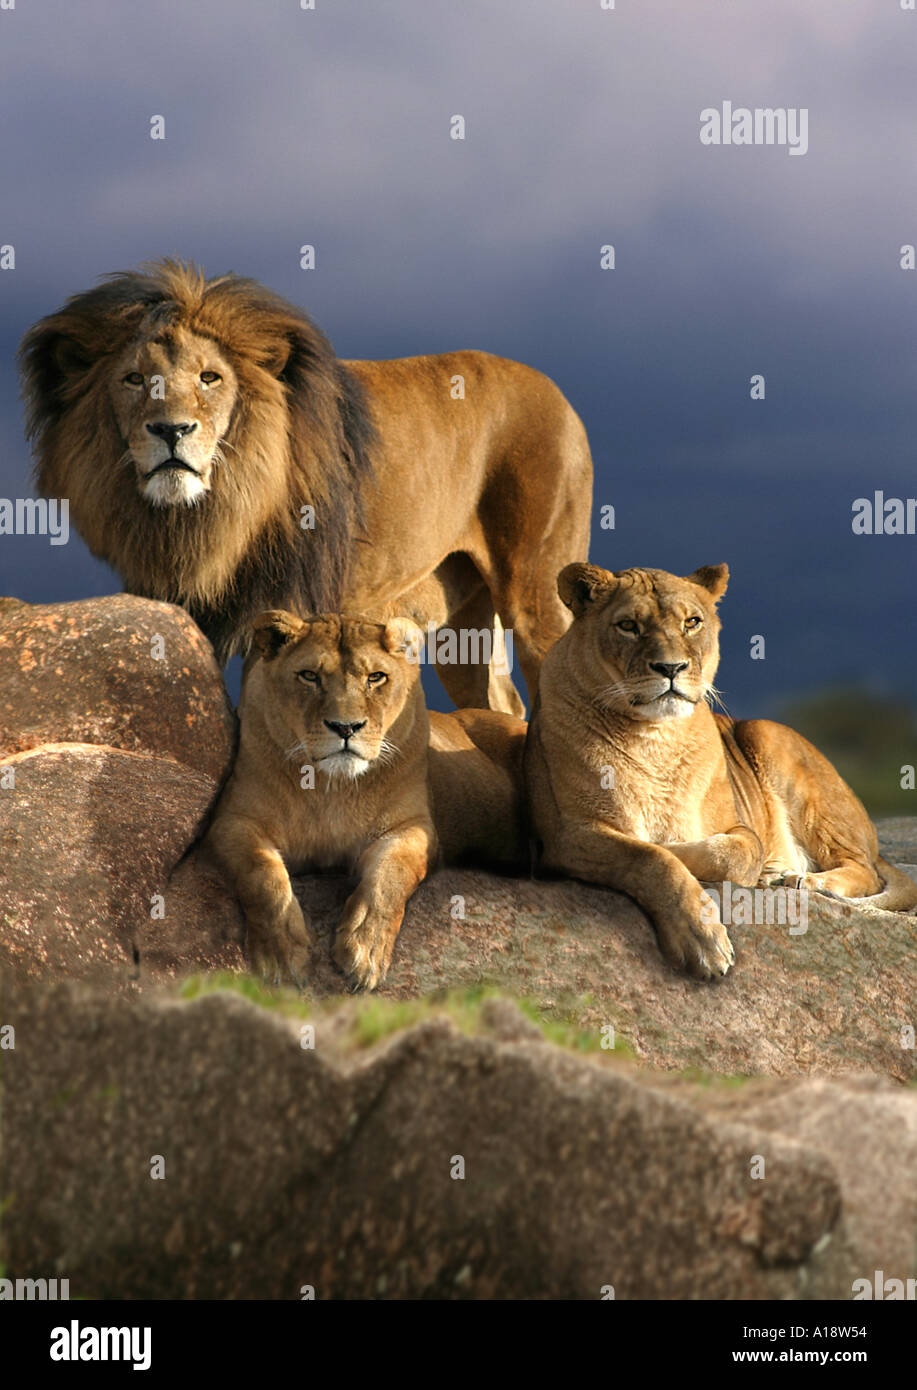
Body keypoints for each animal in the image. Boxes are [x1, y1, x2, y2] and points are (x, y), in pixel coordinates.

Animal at [18, 260, 592, 715]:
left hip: (536, 591)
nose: (171, 430)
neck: (208, 514)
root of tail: (560, 395)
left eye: (210, 378)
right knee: (500, 704)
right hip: (464, 623)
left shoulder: (283, 608)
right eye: (134, 380)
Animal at [202, 609, 527, 989]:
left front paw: (364, 950)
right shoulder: (233, 821)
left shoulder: (411, 829)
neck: (332, 787)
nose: (345, 728)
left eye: (376, 677)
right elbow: (262, 876)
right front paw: (282, 955)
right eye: (310, 675)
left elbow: (390, 878)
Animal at [524, 562, 917, 980]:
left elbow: (733, 853)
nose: (671, 668)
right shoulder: (568, 835)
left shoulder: (738, 827)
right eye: (628, 625)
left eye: (692, 622)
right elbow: (651, 858)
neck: (654, 735)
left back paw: (800, 878)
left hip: (766, 734)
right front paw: (701, 938)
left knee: (864, 869)